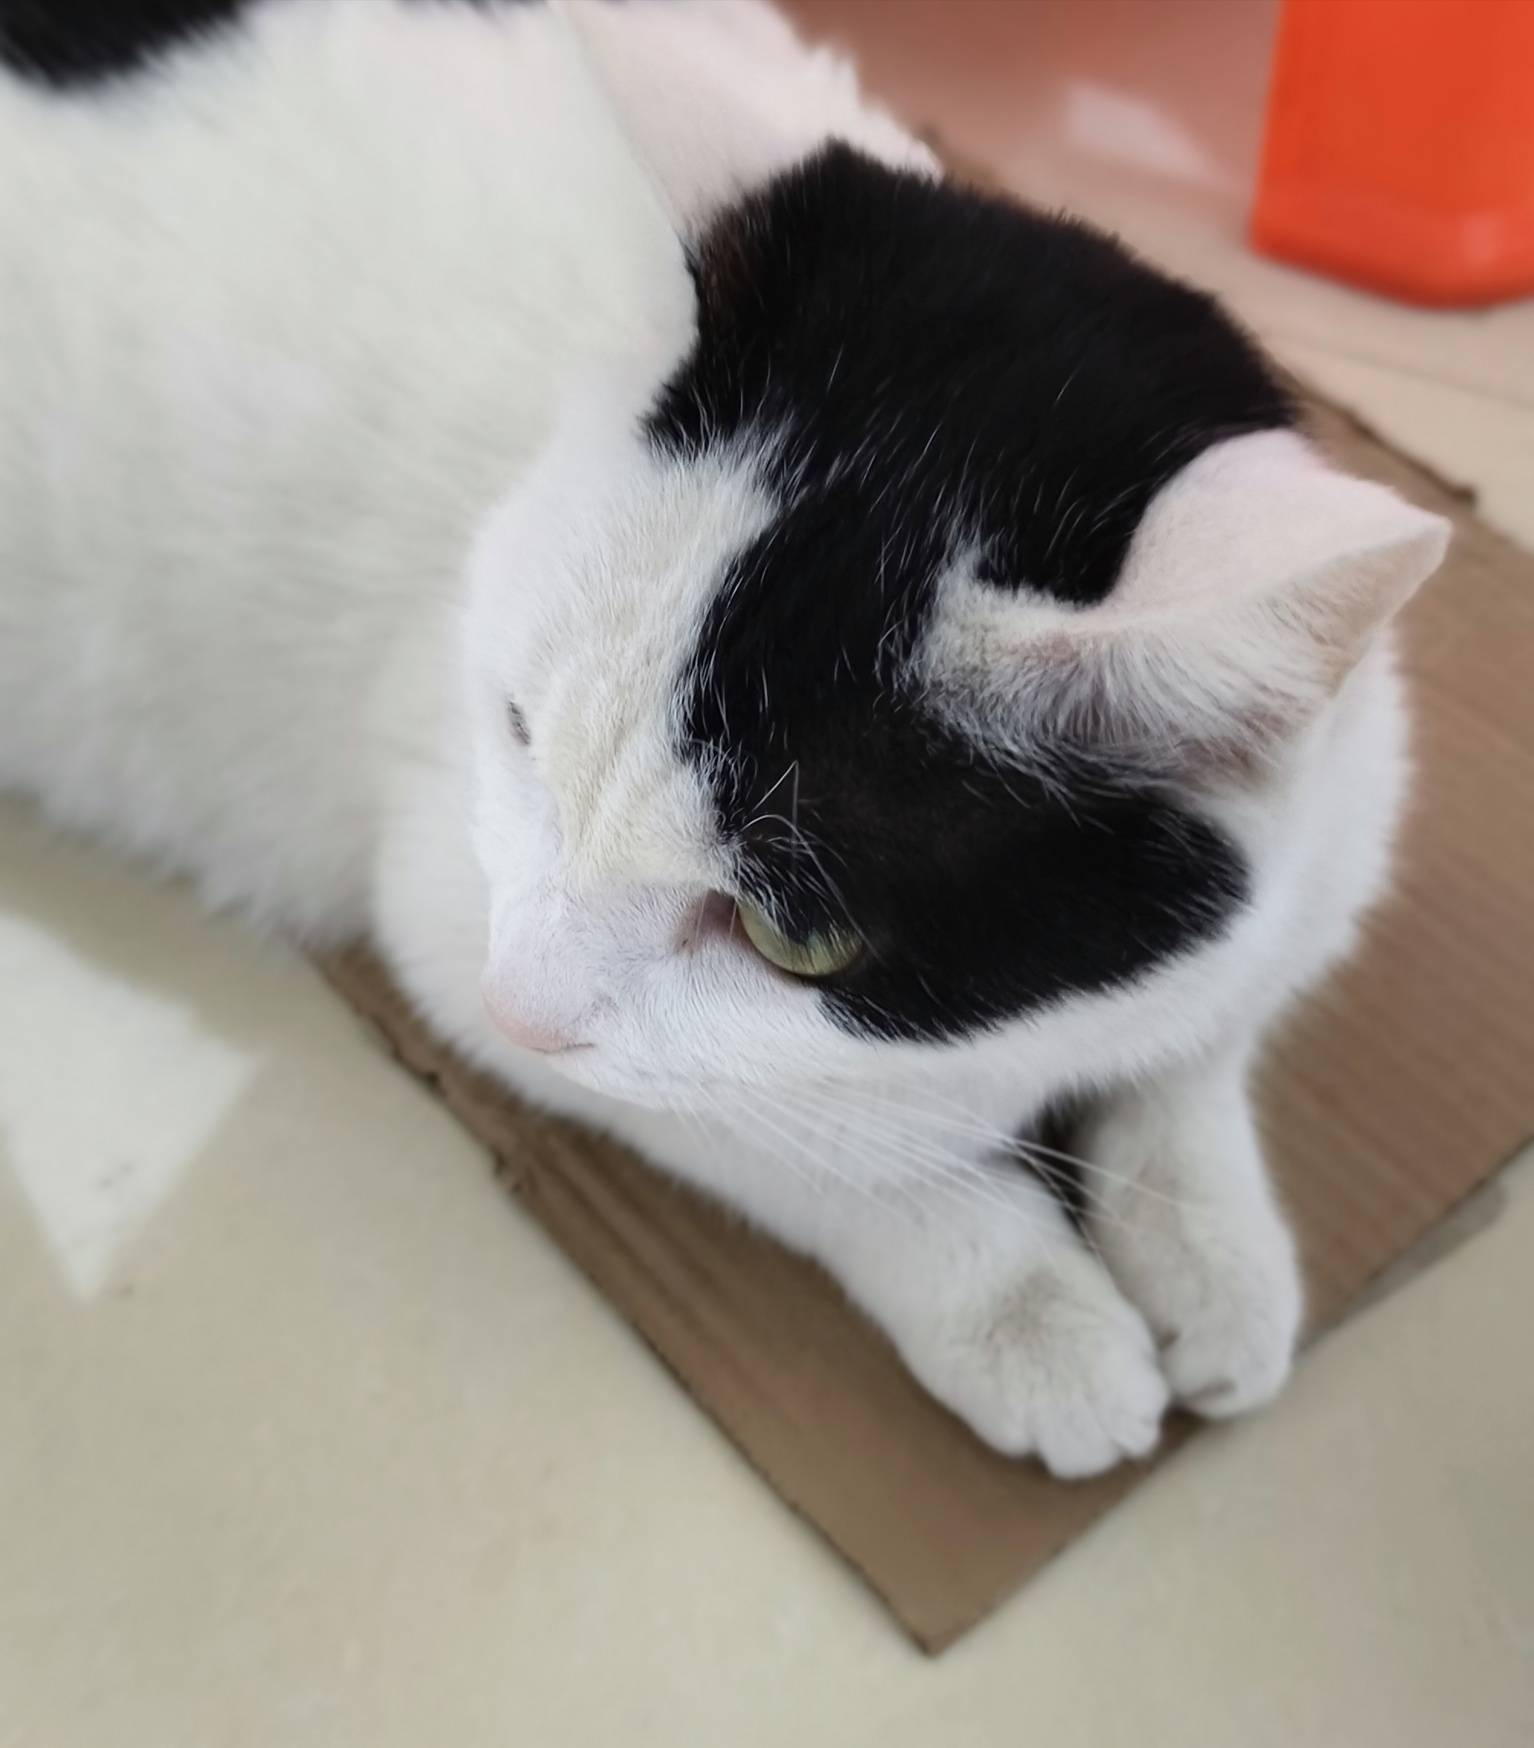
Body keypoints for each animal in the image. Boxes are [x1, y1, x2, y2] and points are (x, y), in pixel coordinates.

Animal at [0, 0, 1448, 1476]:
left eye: (790, 932)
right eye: (517, 732)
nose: (524, 1011)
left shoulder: (1322, 850)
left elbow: (1201, 1044)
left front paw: (1212, 1248)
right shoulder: (449, 902)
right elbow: (804, 1137)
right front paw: (1026, 1309)